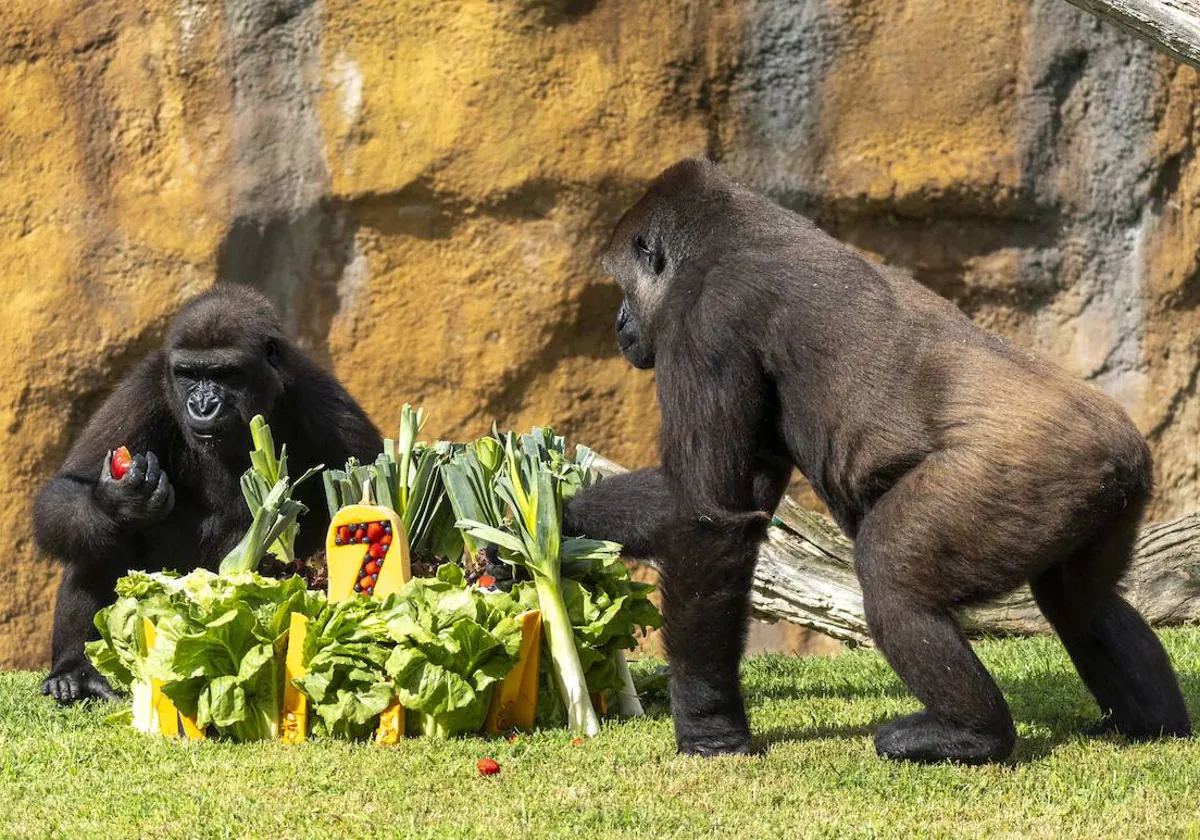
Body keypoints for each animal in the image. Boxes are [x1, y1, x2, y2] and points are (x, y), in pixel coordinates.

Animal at [35, 285, 379, 705]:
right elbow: (68, 490)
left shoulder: (327, 406)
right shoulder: (144, 386)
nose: (202, 405)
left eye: (223, 374)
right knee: (97, 538)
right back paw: (75, 670)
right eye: (188, 374)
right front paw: (118, 502)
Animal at [568, 156, 1190, 763]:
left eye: (624, 290)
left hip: (1032, 476)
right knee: (1080, 602)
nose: (619, 322)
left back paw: (971, 734)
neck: (728, 233)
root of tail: (1125, 451)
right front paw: (557, 521)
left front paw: (708, 728)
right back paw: (1152, 723)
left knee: (894, 574)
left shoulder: (704, 322)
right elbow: (731, 499)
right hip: (1107, 494)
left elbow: (710, 519)